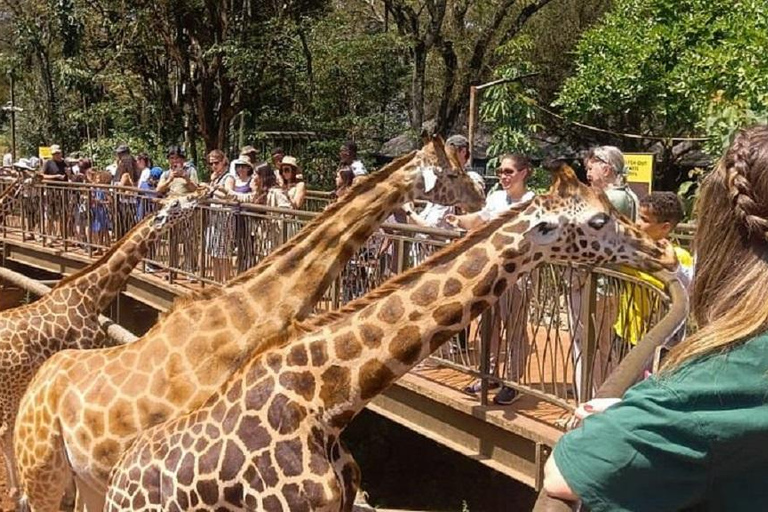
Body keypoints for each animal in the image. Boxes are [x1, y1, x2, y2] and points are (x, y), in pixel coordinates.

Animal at [0, 192, 199, 502]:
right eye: (175, 205)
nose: (197, 196)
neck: (91, 295)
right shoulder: (83, 350)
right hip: (9, 389)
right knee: (6, 431)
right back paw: (16, 491)